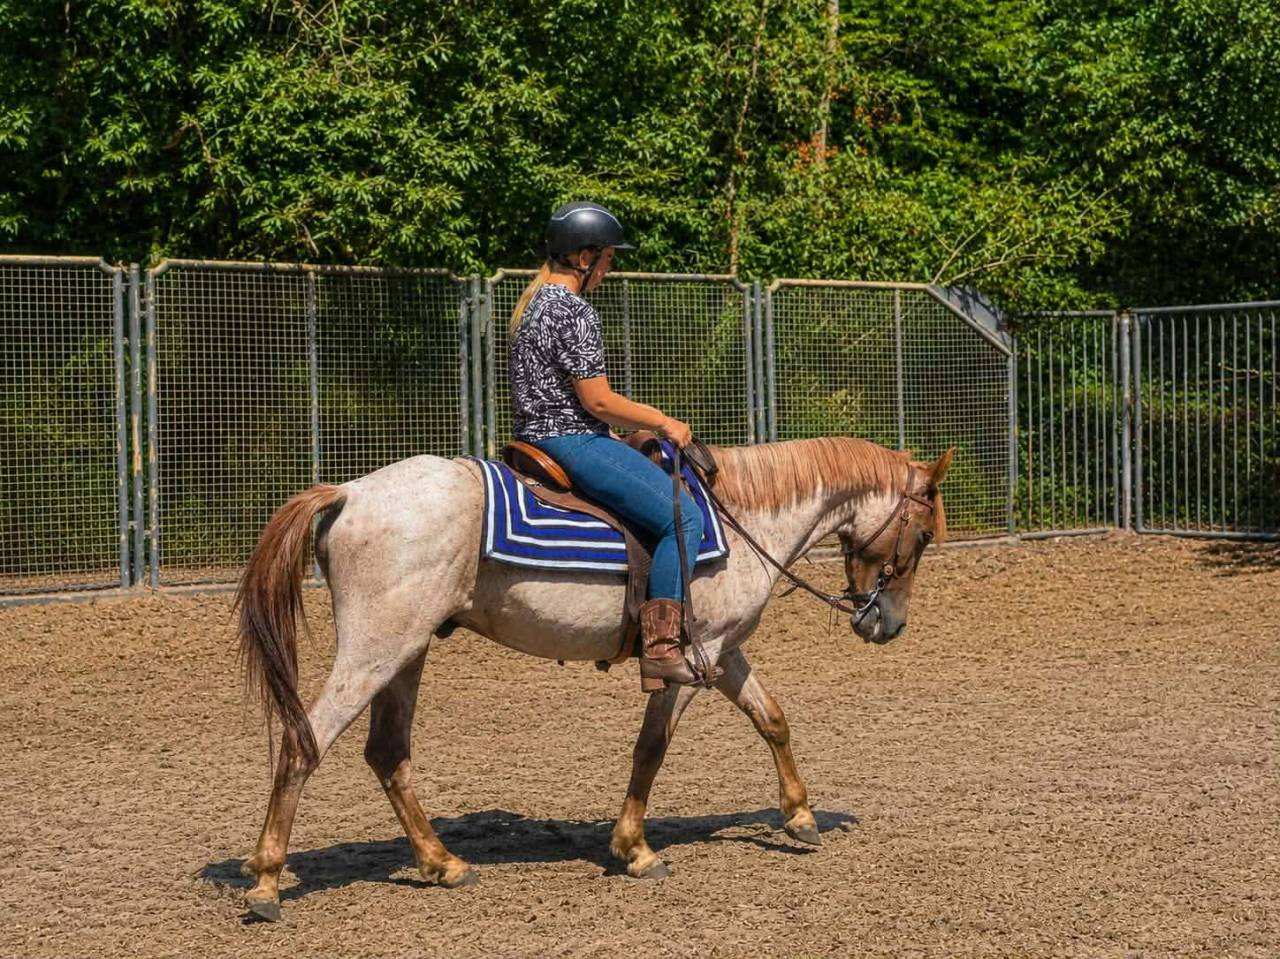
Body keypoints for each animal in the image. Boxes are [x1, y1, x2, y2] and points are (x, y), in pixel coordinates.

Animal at [235, 435, 953, 921]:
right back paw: (267, 881)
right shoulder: (688, 660)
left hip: (405, 653)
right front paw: (634, 848)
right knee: (304, 742)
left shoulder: (721, 653)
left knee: (387, 753)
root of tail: (349, 492)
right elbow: (652, 749)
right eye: (920, 536)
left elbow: (770, 717)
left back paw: (443, 864)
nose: (887, 623)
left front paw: (800, 815)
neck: (745, 519)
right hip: (375, 651)